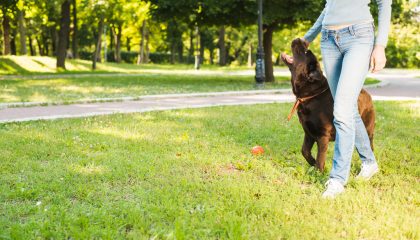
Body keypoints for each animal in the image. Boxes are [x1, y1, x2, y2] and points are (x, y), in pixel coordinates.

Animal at [282, 38, 374, 172]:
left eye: (304, 52)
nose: (299, 39)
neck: (311, 95)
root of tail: (367, 93)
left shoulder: (322, 135)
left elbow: (320, 157)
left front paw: (318, 172)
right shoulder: (309, 132)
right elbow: (304, 151)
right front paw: (312, 163)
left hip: (368, 129)